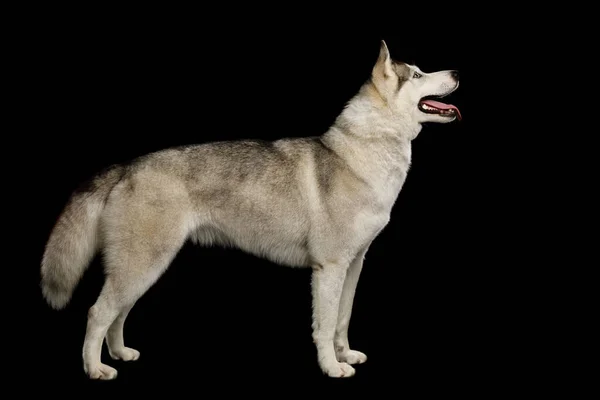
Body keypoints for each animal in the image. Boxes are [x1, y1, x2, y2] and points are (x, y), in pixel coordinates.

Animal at [41, 39, 460, 378]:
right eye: (418, 73)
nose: (456, 71)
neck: (363, 151)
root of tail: (126, 167)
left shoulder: (354, 264)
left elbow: (343, 320)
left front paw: (345, 355)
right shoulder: (329, 268)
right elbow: (324, 326)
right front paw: (331, 367)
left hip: (142, 271)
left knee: (118, 314)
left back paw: (119, 353)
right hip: (141, 266)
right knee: (98, 313)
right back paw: (95, 368)